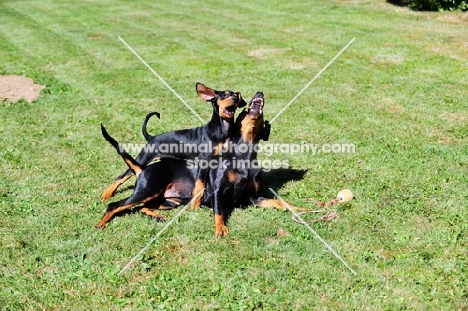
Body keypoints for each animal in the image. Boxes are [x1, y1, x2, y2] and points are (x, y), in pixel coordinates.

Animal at [100, 82, 247, 202]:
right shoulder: (203, 161)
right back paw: (106, 195)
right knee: (121, 177)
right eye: (224, 95)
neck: (221, 131)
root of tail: (152, 137)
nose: (235, 99)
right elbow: (200, 184)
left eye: (236, 95)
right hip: (143, 158)